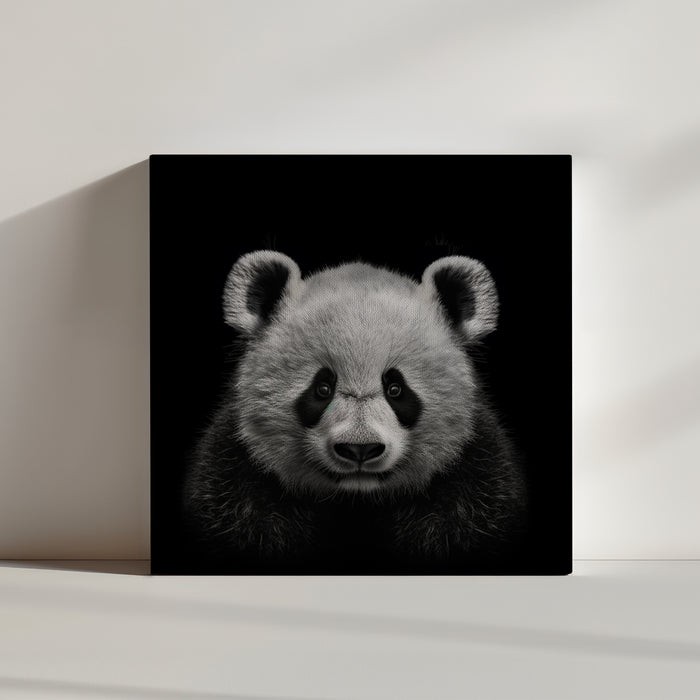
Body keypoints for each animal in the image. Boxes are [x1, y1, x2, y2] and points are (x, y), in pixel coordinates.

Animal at [183, 250, 528, 573]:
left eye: (395, 389)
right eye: (322, 388)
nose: (359, 449)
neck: (356, 503)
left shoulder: (477, 478)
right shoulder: (234, 476)